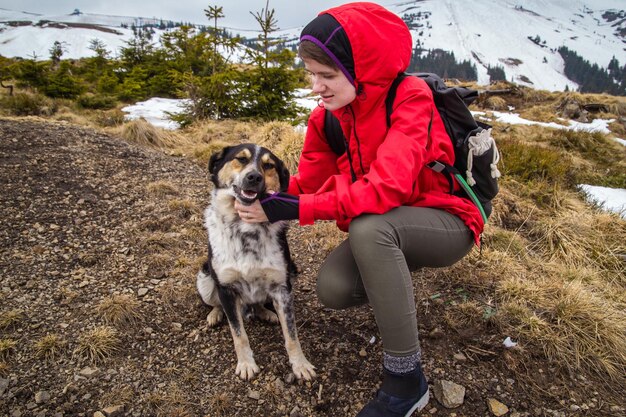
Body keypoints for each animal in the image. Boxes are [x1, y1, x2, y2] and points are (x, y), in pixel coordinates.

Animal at [195, 143, 314, 380]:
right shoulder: (226, 288)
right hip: (204, 277)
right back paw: (215, 314)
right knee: (216, 304)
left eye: (268, 165)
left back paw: (268, 313)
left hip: (290, 272)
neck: (245, 228)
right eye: (241, 159)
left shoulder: (282, 288)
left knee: (259, 304)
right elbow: (238, 334)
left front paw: (300, 364)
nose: (254, 177)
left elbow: (292, 335)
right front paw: (246, 364)